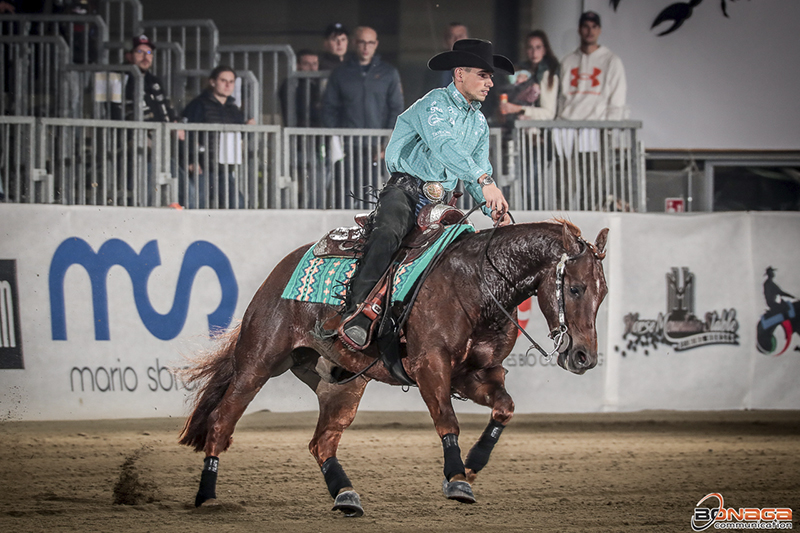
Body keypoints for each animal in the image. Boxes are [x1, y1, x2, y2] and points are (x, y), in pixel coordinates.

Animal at [180, 217, 608, 516]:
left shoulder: (473, 375)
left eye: (602, 293)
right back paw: (208, 497)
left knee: (322, 443)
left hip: (342, 384)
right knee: (221, 421)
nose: (584, 357)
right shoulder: (429, 366)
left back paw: (346, 495)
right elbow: (447, 421)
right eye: (575, 288)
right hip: (258, 363)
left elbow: (505, 408)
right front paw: (457, 481)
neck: (475, 284)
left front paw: (471, 466)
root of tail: (278, 274)